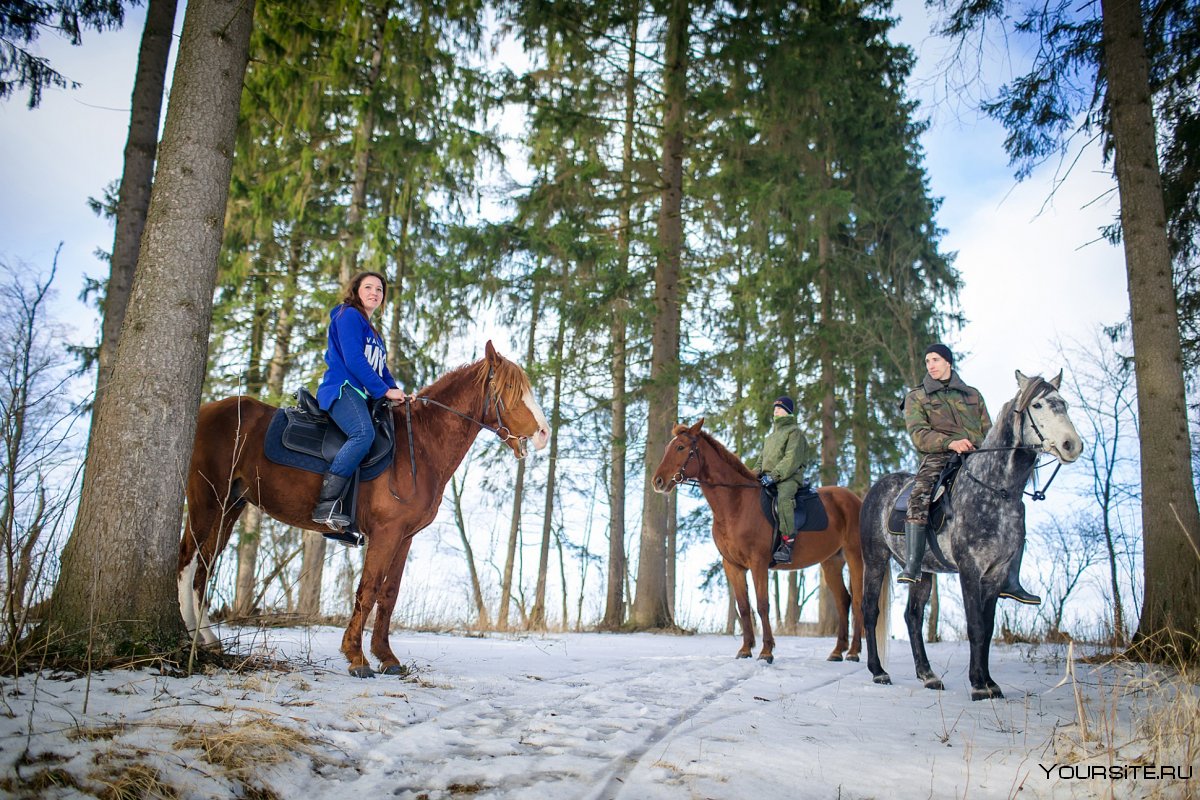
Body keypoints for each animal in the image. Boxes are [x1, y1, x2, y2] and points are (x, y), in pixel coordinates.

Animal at [175, 340, 549, 681]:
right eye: (511, 390)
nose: (544, 433)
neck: (419, 446)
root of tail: (206, 411)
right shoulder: (385, 533)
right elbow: (367, 590)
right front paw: (356, 657)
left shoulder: (404, 537)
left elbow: (389, 594)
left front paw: (387, 657)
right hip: (207, 501)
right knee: (186, 560)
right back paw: (190, 634)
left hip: (230, 507)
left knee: (203, 569)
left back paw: (207, 639)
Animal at [652, 419, 868, 662]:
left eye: (680, 447)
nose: (657, 481)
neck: (737, 504)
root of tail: (856, 500)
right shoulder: (733, 566)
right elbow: (744, 607)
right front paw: (745, 649)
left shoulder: (758, 563)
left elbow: (763, 605)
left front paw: (766, 651)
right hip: (831, 562)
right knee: (843, 601)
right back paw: (837, 651)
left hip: (855, 558)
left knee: (858, 602)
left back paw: (853, 652)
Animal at [859, 371, 1084, 695]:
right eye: (1038, 405)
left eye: (1063, 404)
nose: (1072, 445)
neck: (994, 490)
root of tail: (877, 488)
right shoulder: (969, 569)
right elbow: (975, 625)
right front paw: (979, 686)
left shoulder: (995, 573)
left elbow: (987, 629)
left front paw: (989, 682)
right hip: (875, 560)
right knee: (869, 610)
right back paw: (878, 672)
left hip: (924, 572)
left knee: (913, 616)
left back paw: (928, 675)